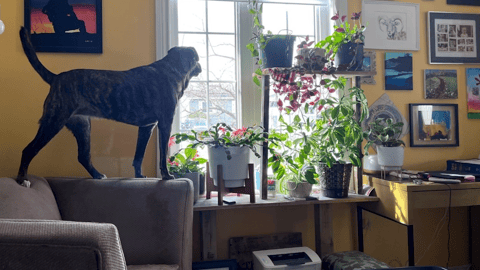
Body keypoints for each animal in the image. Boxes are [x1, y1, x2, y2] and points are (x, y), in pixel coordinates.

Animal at [16, 26, 201, 188]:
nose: (199, 66)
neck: (172, 69)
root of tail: (56, 78)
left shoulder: (146, 127)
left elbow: (138, 156)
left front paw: (139, 176)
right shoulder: (164, 123)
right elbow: (163, 155)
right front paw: (167, 176)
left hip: (82, 126)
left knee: (83, 156)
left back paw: (98, 175)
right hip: (54, 121)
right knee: (28, 150)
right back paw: (22, 179)